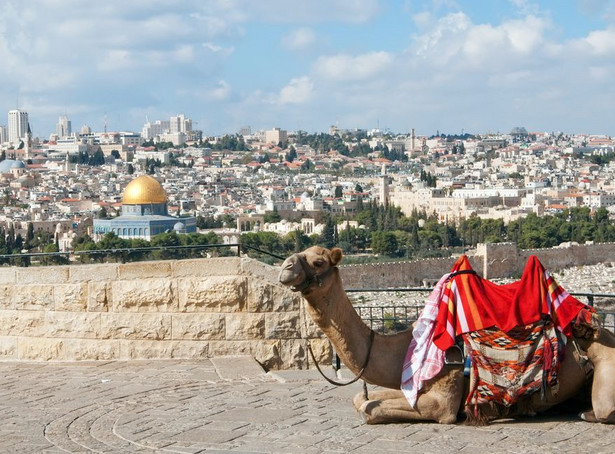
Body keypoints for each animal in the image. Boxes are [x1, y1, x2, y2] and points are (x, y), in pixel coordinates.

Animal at [280, 247, 608, 424]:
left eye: (319, 261)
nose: (285, 267)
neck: (406, 346)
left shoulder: (444, 402)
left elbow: (371, 409)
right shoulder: (410, 386)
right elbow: (362, 399)